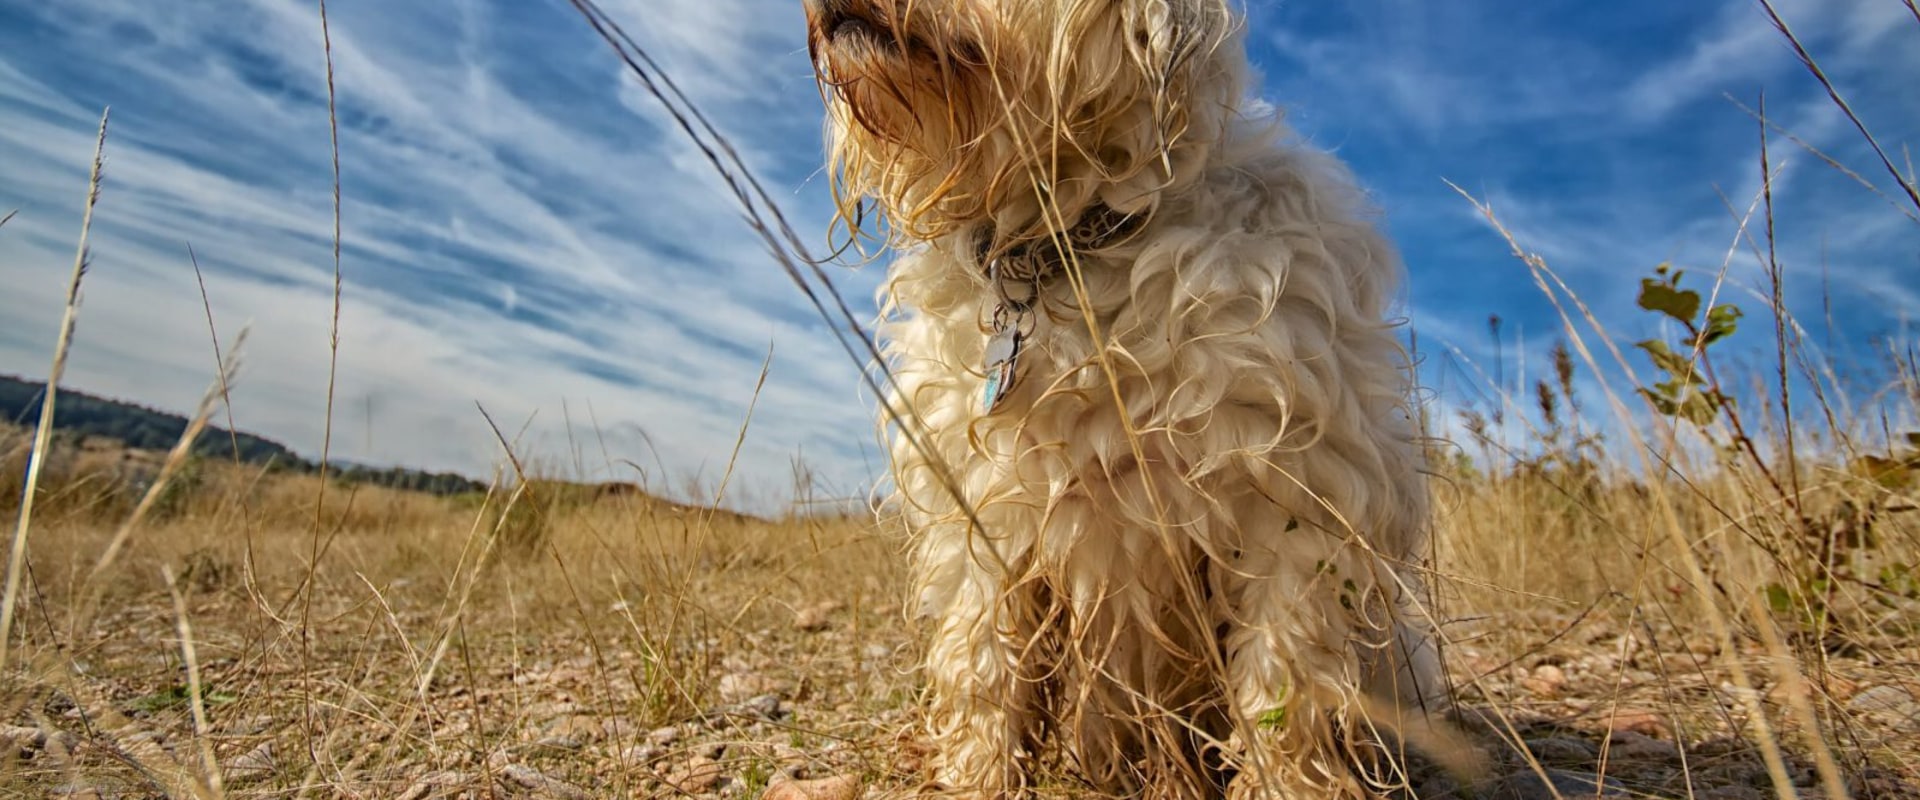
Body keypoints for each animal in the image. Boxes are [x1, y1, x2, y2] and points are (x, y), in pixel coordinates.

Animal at [802, 0, 1443, 790]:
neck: (1068, 245)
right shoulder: (980, 515)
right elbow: (982, 669)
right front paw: (977, 779)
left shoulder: (1296, 512)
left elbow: (1283, 689)